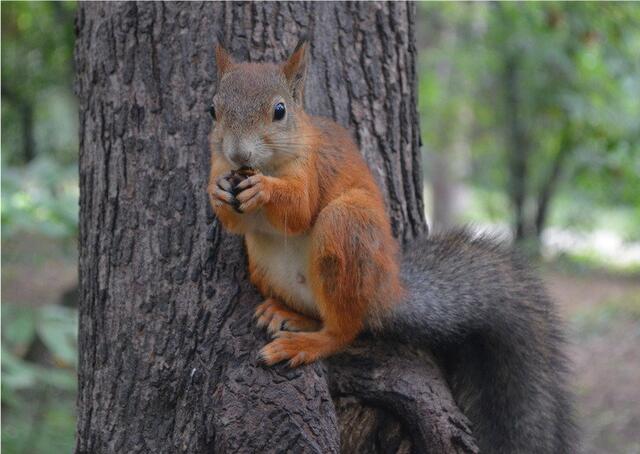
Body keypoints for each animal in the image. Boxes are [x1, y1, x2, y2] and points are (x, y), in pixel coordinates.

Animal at [207, 40, 576, 453]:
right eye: (213, 110)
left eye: (279, 111)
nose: (238, 155)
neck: (269, 164)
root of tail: (385, 290)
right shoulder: (220, 165)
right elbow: (234, 221)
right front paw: (217, 191)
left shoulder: (314, 168)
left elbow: (299, 209)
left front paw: (265, 190)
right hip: (264, 261)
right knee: (323, 312)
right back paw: (285, 313)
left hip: (347, 227)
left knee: (346, 328)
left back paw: (306, 343)